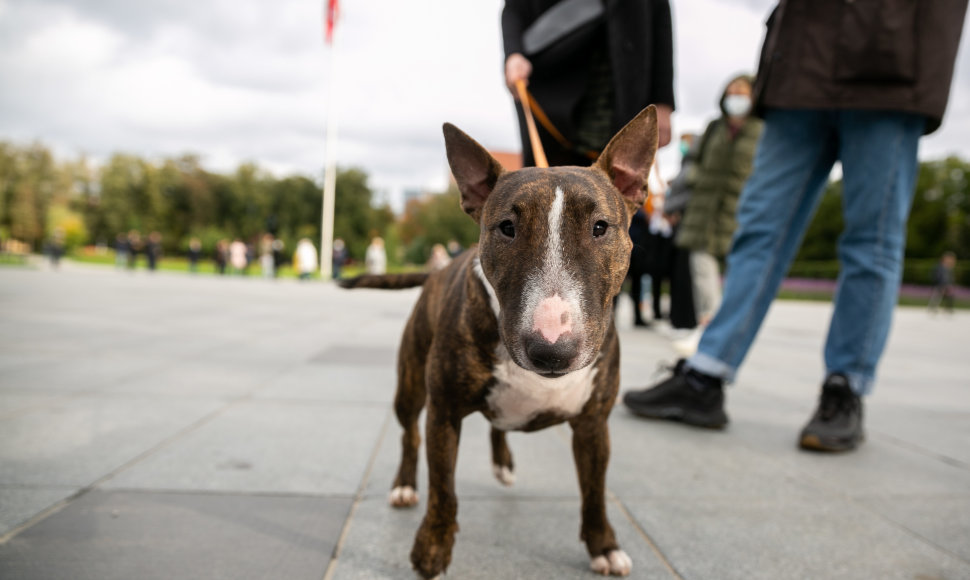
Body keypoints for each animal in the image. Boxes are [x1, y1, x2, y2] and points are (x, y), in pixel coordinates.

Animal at [338, 105, 656, 580]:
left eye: (600, 227)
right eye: (506, 227)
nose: (551, 351)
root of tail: (435, 271)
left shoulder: (594, 423)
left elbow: (595, 492)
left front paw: (604, 547)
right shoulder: (444, 413)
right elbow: (443, 491)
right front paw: (431, 551)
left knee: (497, 425)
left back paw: (502, 463)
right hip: (410, 385)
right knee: (409, 434)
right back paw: (404, 486)